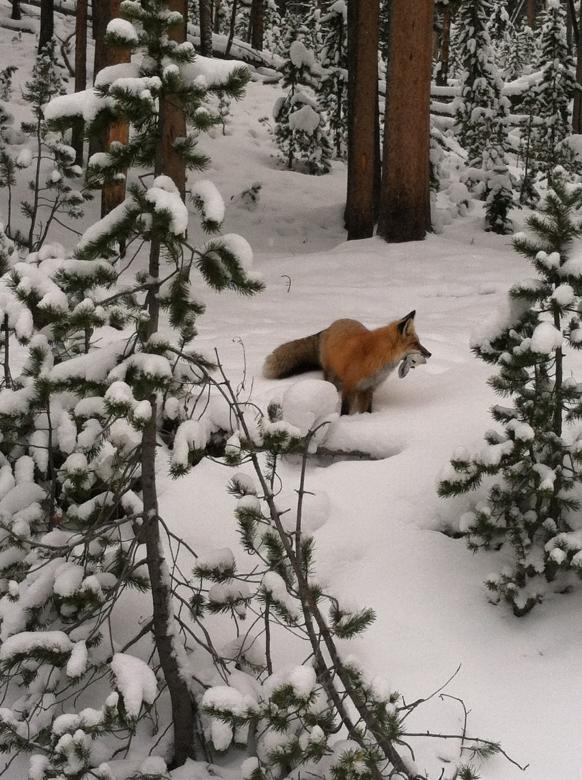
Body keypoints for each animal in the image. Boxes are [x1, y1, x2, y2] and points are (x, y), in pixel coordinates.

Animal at [263, 310, 431, 415]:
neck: (376, 355)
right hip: (331, 375)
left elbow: (367, 409)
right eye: (415, 344)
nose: (430, 354)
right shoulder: (350, 386)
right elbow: (345, 409)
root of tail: (330, 326)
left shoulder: (368, 389)